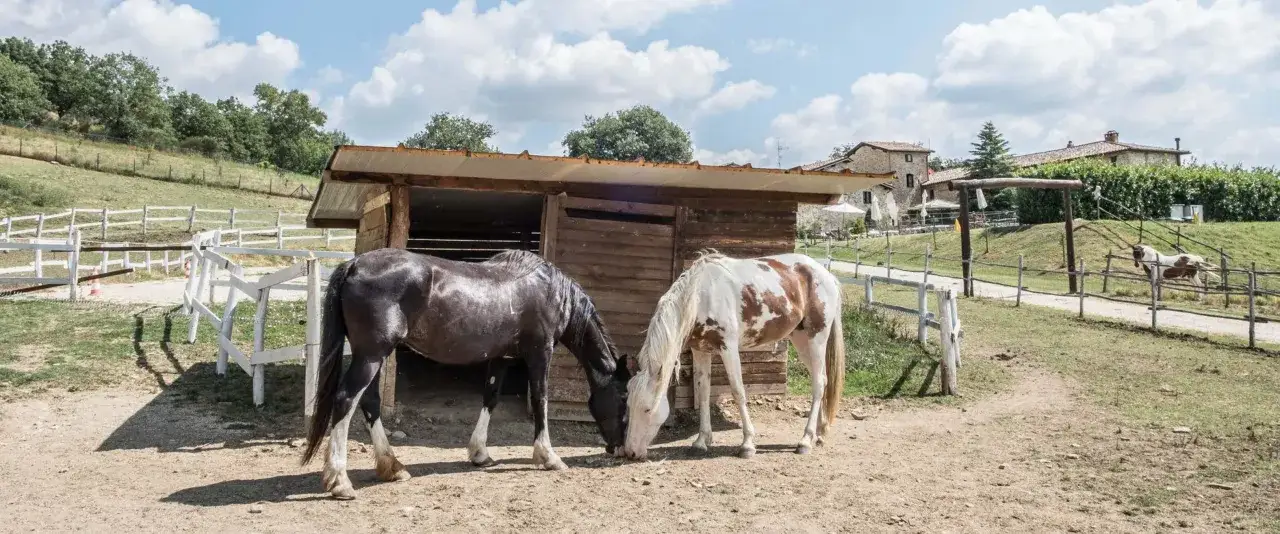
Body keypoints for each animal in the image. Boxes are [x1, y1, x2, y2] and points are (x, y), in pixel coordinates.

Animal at [299, 248, 631, 500]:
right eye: (625, 398)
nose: (619, 448)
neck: (549, 290)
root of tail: (354, 264)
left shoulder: (501, 358)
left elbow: (491, 398)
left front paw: (480, 453)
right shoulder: (540, 353)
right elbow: (540, 400)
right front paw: (549, 456)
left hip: (372, 356)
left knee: (369, 402)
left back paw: (392, 467)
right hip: (371, 355)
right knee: (346, 399)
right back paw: (340, 481)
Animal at [621, 251, 846, 460]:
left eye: (647, 409)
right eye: (629, 405)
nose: (631, 452)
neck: (700, 296)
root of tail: (827, 275)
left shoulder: (728, 347)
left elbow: (738, 391)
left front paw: (747, 444)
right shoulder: (700, 351)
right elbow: (703, 393)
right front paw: (701, 441)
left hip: (816, 339)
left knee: (818, 384)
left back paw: (805, 440)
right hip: (801, 342)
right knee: (823, 380)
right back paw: (819, 434)